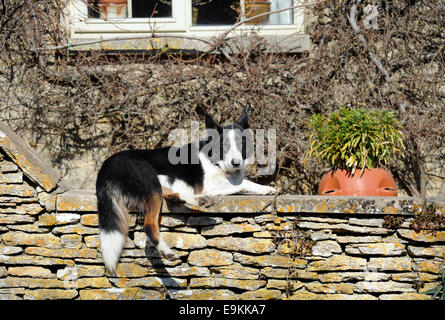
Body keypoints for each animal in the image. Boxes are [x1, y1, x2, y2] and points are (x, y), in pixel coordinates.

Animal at [96, 109, 276, 272]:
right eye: (224, 146)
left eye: (241, 143)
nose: (236, 163)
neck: (215, 160)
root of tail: (104, 168)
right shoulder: (207, 185)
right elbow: (241, 183)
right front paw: (263, 188)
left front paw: (265, 188)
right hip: (147, 175)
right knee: (149, 224)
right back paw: (167, 251)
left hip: (157, 181)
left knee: (171, 194)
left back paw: (197, 200)